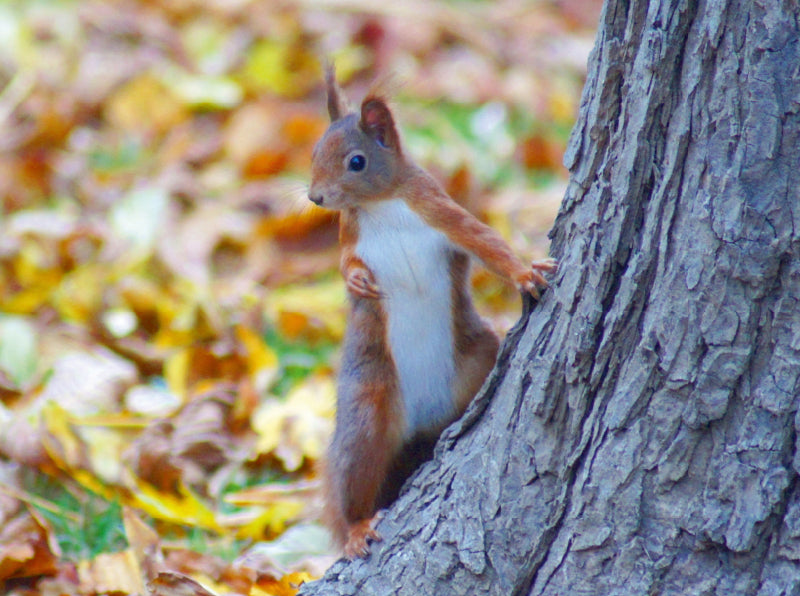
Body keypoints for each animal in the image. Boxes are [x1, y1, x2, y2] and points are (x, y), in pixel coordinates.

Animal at [308, 66, 556, 560]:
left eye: (356, 162)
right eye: (314, 152)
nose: (315, 197)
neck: (382, 204)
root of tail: (421, 424)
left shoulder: (439, 211)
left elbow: (485, 241)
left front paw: (525, 273)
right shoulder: (350, 232)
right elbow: (344, 262)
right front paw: (355, 282)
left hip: (476, 357)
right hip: (368, 408)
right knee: (355, 478)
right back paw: (357, 527)